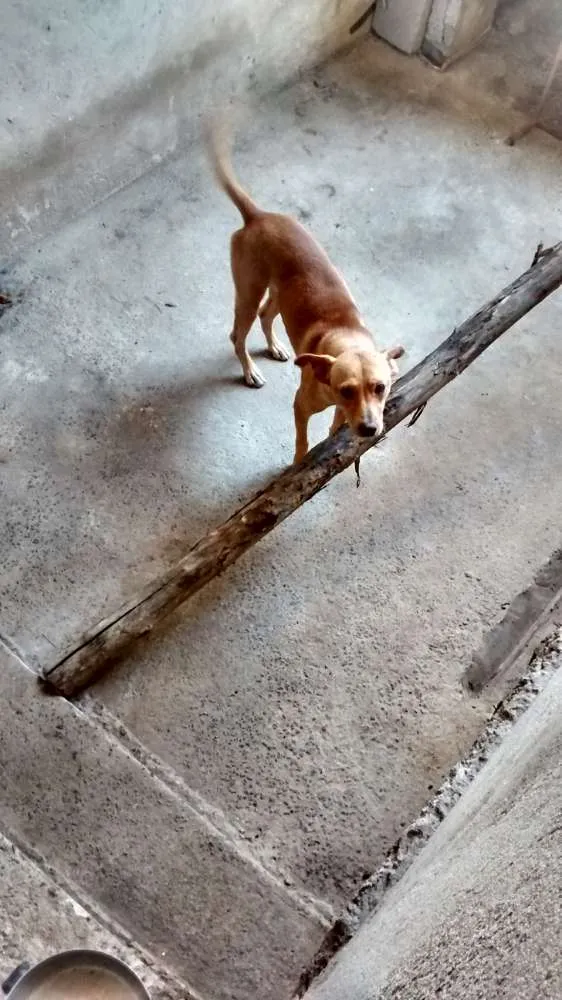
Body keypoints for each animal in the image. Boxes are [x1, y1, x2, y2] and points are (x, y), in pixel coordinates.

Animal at [207, 126, 402, 464]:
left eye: (381, 387)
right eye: (346, 390)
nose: (368, 429)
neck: (345, 337)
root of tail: (257, 216)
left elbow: (335, 425)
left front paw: (335, 439)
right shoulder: (301, 405)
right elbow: (302, 440)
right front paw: (301, 463)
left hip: (279, 294)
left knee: (266, 316)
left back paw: (275, 347)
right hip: (249, 292)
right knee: (238, 335)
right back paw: (250, 371)